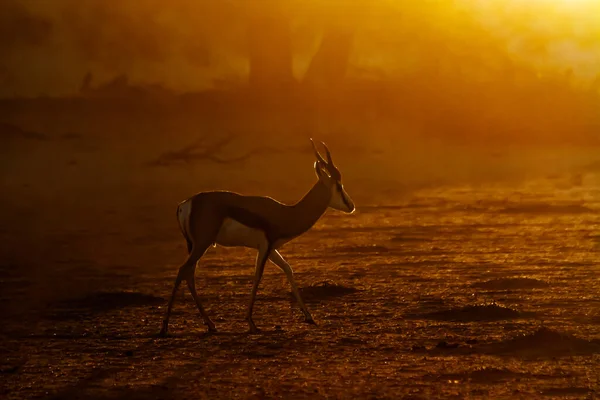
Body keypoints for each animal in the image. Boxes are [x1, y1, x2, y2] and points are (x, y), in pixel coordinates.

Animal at [161, 139, 356, 336]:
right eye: (339, 185)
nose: (351, 206)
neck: (285, 213)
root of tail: (185, 205)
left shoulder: (270, 248)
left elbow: (287, 269)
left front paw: (309, 316)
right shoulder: (265, 246)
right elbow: (258, 276)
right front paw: (251, 323)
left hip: (195, 245)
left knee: (189, 274)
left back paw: (210, 324)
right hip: (202, 243)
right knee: (183, 271)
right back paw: (165, 327)